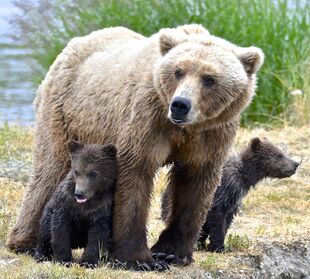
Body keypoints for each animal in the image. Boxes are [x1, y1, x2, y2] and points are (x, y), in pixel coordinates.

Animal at [7, 24, 264, 272]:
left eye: (209, 78)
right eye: (178, 71)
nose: (180, 105)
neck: (181, 128)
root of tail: (73, 44)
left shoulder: (210, 136)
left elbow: (195, 186)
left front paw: (172, 253)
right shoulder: (146, 121)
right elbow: (135, 179)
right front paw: (139, 259)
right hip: (66, 113)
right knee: (50, 169)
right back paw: (26, 242)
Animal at [161, 138, 300, 254]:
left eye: (281, 152)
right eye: (279, 155)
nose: (296, 163)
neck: (245, 175)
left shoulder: (234, 199)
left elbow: (226, 221)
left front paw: (210, 244)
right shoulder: (224, 191)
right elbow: (217, 219)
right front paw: (219, 247)